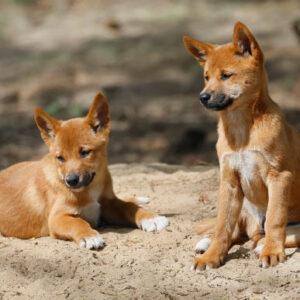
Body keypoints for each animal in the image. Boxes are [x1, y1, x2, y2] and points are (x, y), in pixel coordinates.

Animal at [0, 93, 169, 248]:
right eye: (60, 158)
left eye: (85, 152)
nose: (71, 181)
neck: (90, 189)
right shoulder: (57, 218)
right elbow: (77, 222)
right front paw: (89, 236)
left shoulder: (108, 203)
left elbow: (128, 207)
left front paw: (150, 217)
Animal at [183, 21, 300, 270]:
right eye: (206, 77)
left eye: (226, 75)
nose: (202, 97)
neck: (241, 132)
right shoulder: (229, 181)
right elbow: (223, 227)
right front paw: (212, 256)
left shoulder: (280, 177)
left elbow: (276, 219)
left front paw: (272, 251)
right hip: (244, 206)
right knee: (238, 232)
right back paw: (207, 244)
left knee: (279, 233)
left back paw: (263, 245)